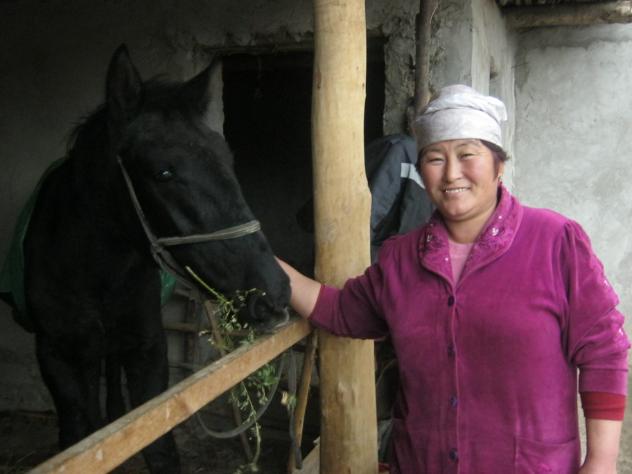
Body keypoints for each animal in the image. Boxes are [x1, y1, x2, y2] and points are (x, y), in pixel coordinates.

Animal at [3, 45, 291, 472]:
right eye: (164, 172)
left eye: (227, 159)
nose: (273, 292)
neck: (94, 270)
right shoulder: (56, 356)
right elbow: (79, 436)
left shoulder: (148, 348)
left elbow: (158, 445)